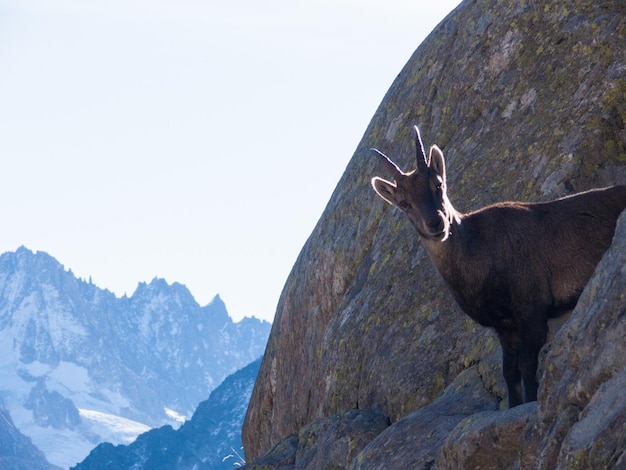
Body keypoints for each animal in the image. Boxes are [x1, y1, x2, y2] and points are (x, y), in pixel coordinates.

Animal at [368, 126, 624, 408]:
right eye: (404, 203)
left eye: (438, 184)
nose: (436, 224)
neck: (477, 251)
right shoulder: (505, 326)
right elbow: (509, 372)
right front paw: (515, 405)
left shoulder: (532, 308)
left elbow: (527, 364)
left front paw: (531, 402)